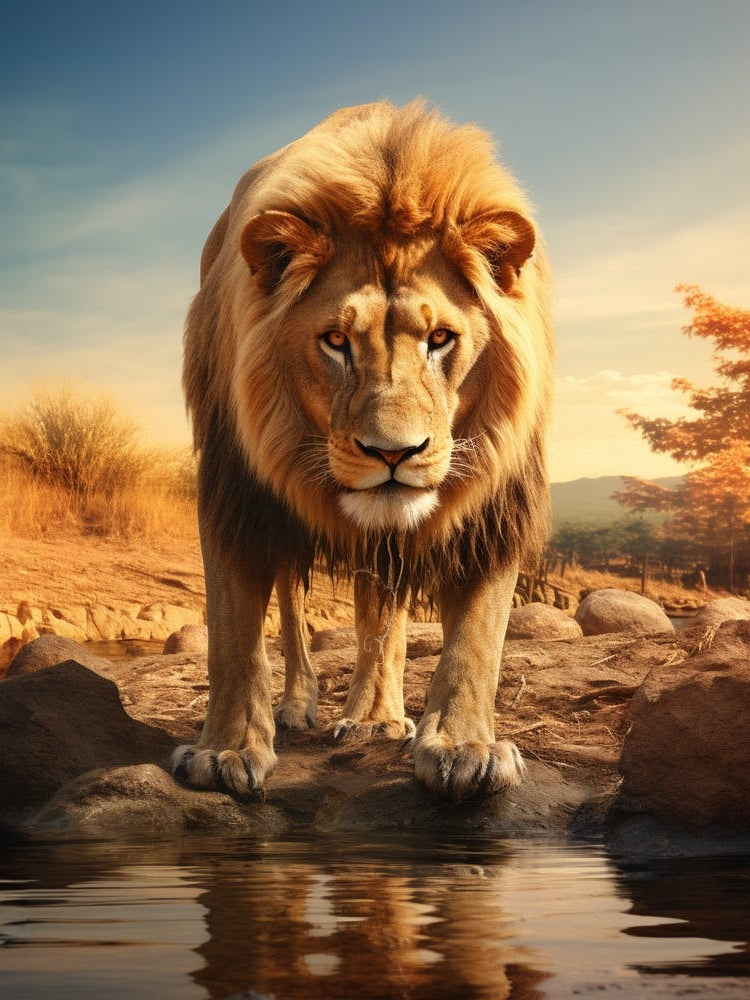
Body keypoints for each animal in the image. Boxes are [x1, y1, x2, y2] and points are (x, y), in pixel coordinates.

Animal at [173, 100, 553, 803]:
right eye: (334, 341)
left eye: (440, 338)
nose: (393, 453)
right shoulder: (236, 492)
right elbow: (233, 637)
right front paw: (225, 752)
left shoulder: (496, 509)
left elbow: (476, 639)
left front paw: (463, 746)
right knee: (292, 605)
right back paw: (300, 705)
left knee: (384, 612)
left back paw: (376, 718)